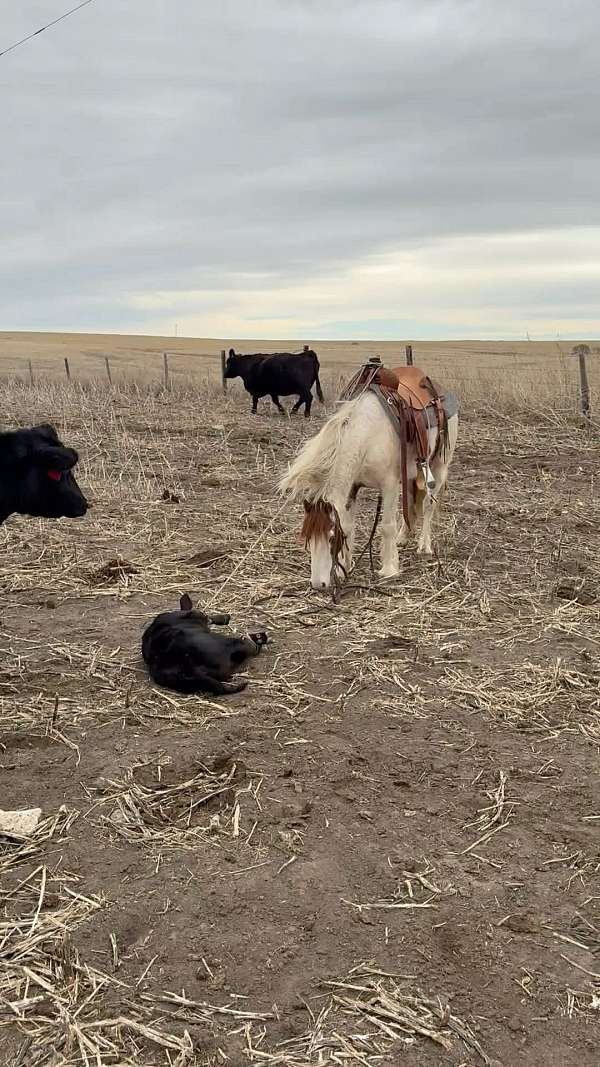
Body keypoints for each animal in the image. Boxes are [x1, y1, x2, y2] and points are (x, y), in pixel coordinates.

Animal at [279, 365, 458, 590]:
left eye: (330, 538)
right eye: (308, 538)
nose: (319, 584)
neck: (368, 435)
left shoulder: (389, 485)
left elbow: (387, 526)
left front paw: (389, 569)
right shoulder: (352, 488)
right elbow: (348, 527)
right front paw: (344, 568)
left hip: (439, 466)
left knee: (428, 505)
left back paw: (424, 546)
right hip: (411, 476)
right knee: (411, 505)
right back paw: (403, 538)